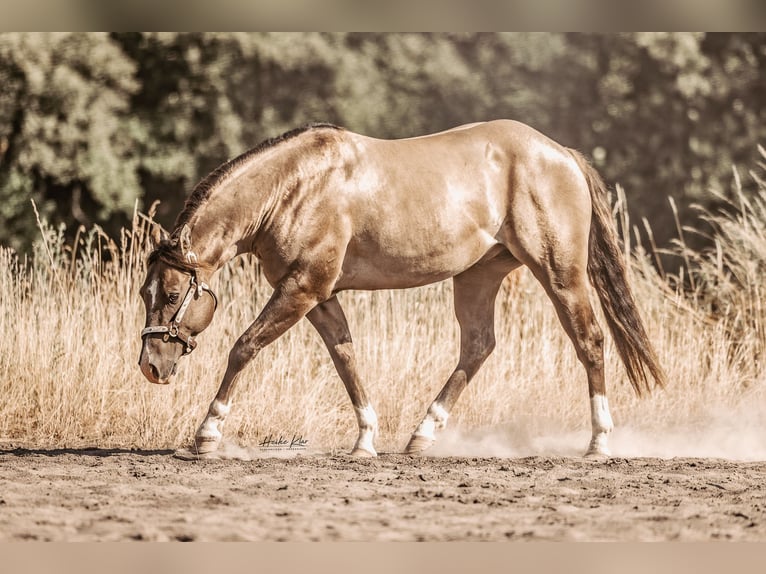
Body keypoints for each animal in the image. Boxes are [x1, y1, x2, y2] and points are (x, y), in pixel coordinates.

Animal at [137, 120, 666, 458]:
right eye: (146, 294)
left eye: (171, 295)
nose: (151, 367)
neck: (294, 188)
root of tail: (562, 155)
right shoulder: (320, 296)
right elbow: (346, 359)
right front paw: (365, 441)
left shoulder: (302, 288)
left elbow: (244, 347)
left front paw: (206, 435)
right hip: (478, 276)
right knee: (478, 346)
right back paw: (421, 437)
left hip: (560, 274)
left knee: (589, 341)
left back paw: (598, 442)